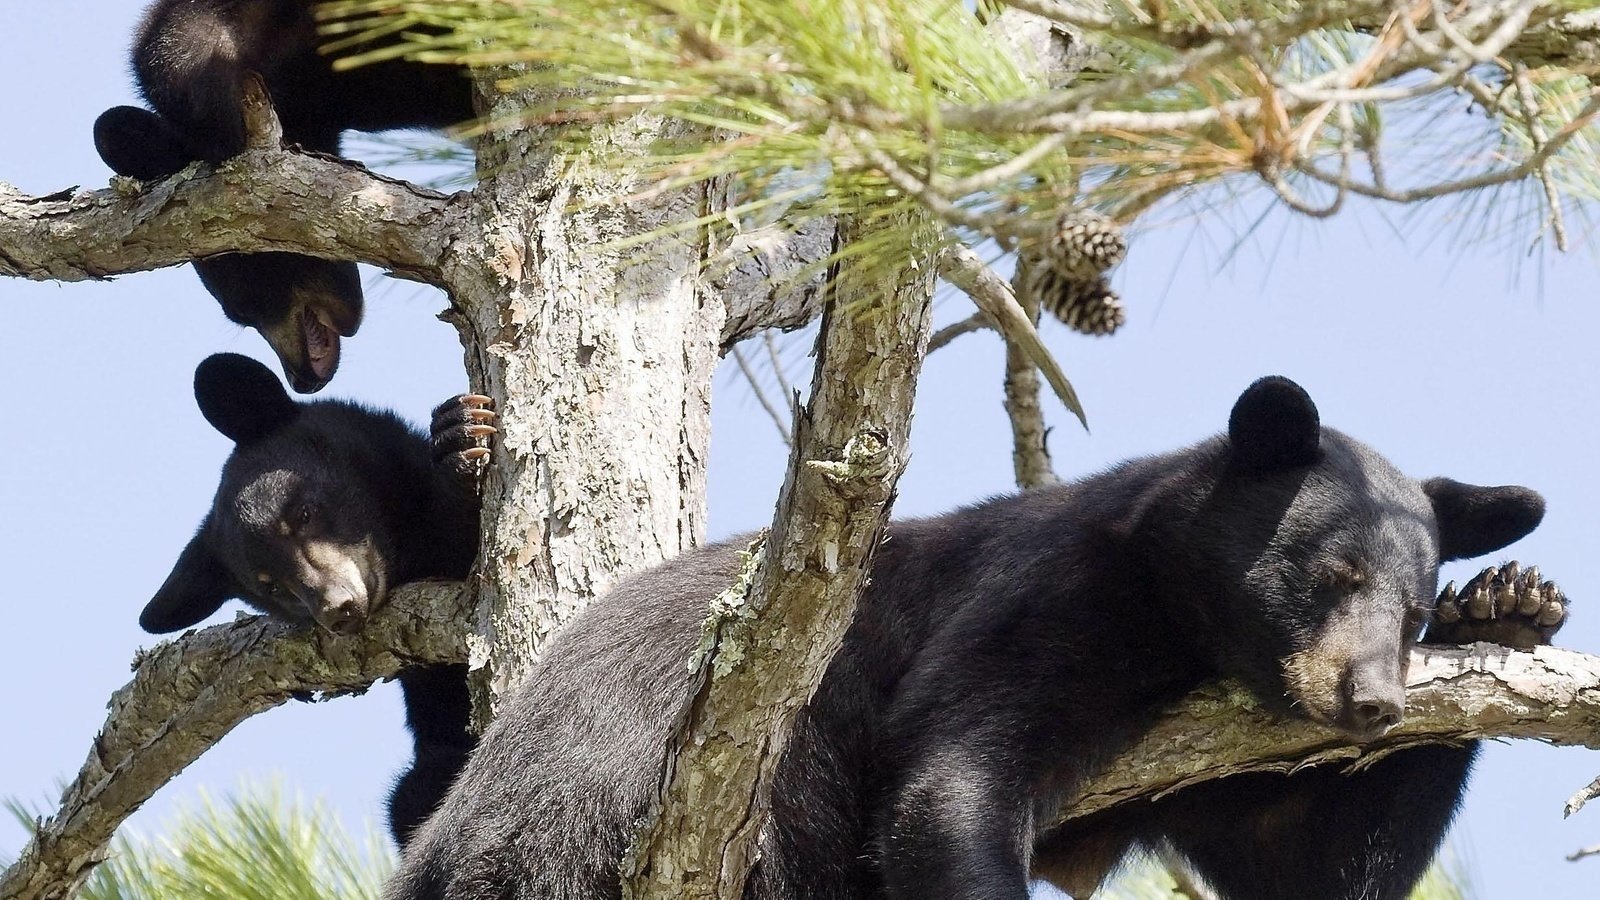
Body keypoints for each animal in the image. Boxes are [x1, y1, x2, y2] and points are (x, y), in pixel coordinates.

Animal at [384, 376, 1559, 900]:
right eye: (1333, 573)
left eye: (1410, 610)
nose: (1373, 702)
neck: (1179, 630)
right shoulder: (1045, 595)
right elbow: (953, 773)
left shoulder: (1209, 763)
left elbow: (1309, 867)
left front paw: (1506, 602)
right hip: (599, 814)